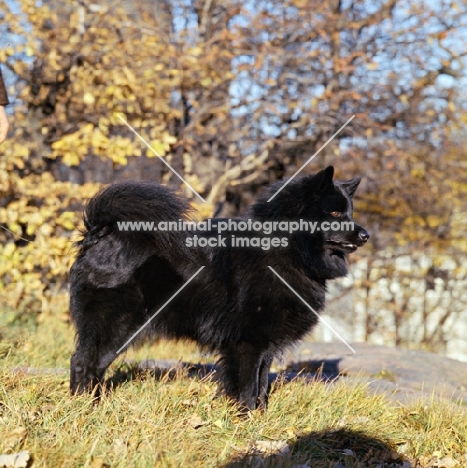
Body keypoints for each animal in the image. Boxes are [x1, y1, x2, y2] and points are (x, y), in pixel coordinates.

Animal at [70, 167, 370, 410]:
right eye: (334, 213)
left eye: (350, 212)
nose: (365, 234)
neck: (285, 248)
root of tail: (99, 234)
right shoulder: (248, 342)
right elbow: (247, 387)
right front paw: (245, 418)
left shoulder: (265, 345)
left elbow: (262, 383)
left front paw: (260, 417)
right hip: (116, 326)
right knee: (83, 363)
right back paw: (84, 407)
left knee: (93, 367)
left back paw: (92, 404)